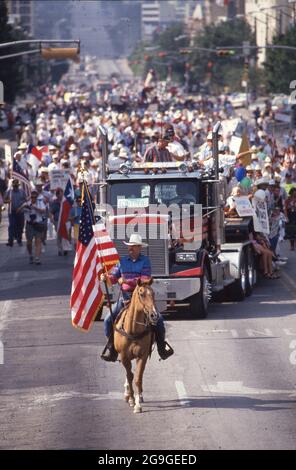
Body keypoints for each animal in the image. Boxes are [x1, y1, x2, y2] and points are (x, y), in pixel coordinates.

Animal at [114, 278, 160, 414]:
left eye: (153, 293)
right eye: (141, 294)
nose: (154, 315)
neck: (133, 330)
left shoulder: (142, 356)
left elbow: (138, 378)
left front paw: (138, 404)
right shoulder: (124, 356)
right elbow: (130, 376)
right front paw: (131, 399)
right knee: (128, 373)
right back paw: (127, 394)